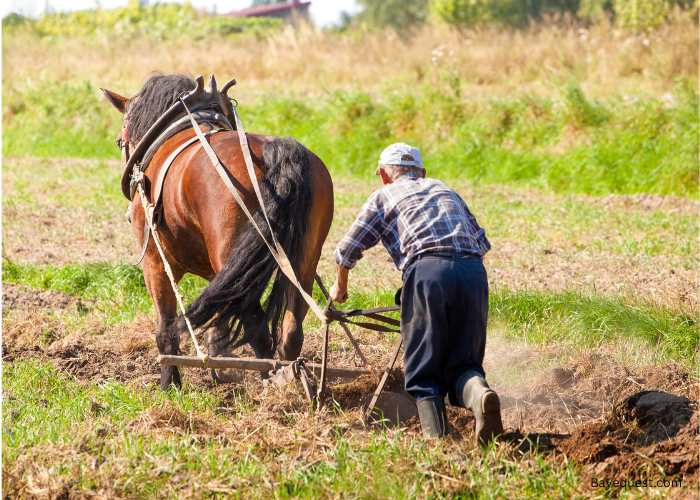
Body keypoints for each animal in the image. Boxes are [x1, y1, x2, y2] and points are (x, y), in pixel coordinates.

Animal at [102, 73, 334, 390]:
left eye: (118, 142)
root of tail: (276, 152)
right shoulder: (219, 273)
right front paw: (217, 369)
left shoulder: (156, 262)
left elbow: (165, 328)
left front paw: (169, 385)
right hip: (300, 263)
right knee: (291, 331)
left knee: (258, 329)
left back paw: (269, 384)